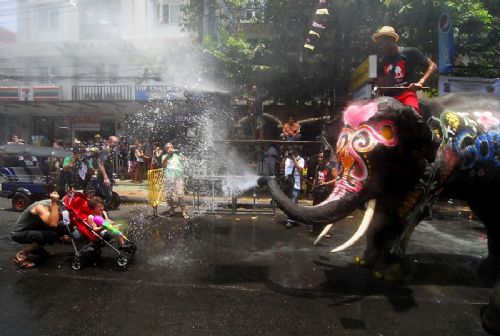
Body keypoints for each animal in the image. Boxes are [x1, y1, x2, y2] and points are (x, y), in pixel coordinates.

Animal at [260, 92, 500, 280]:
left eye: (382, 156)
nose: (265, 177)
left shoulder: (442, 161)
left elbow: (409, 210)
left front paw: (385, 274)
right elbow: (383, 210)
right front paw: (364, 263)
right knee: (488, 213)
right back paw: (485, 272)